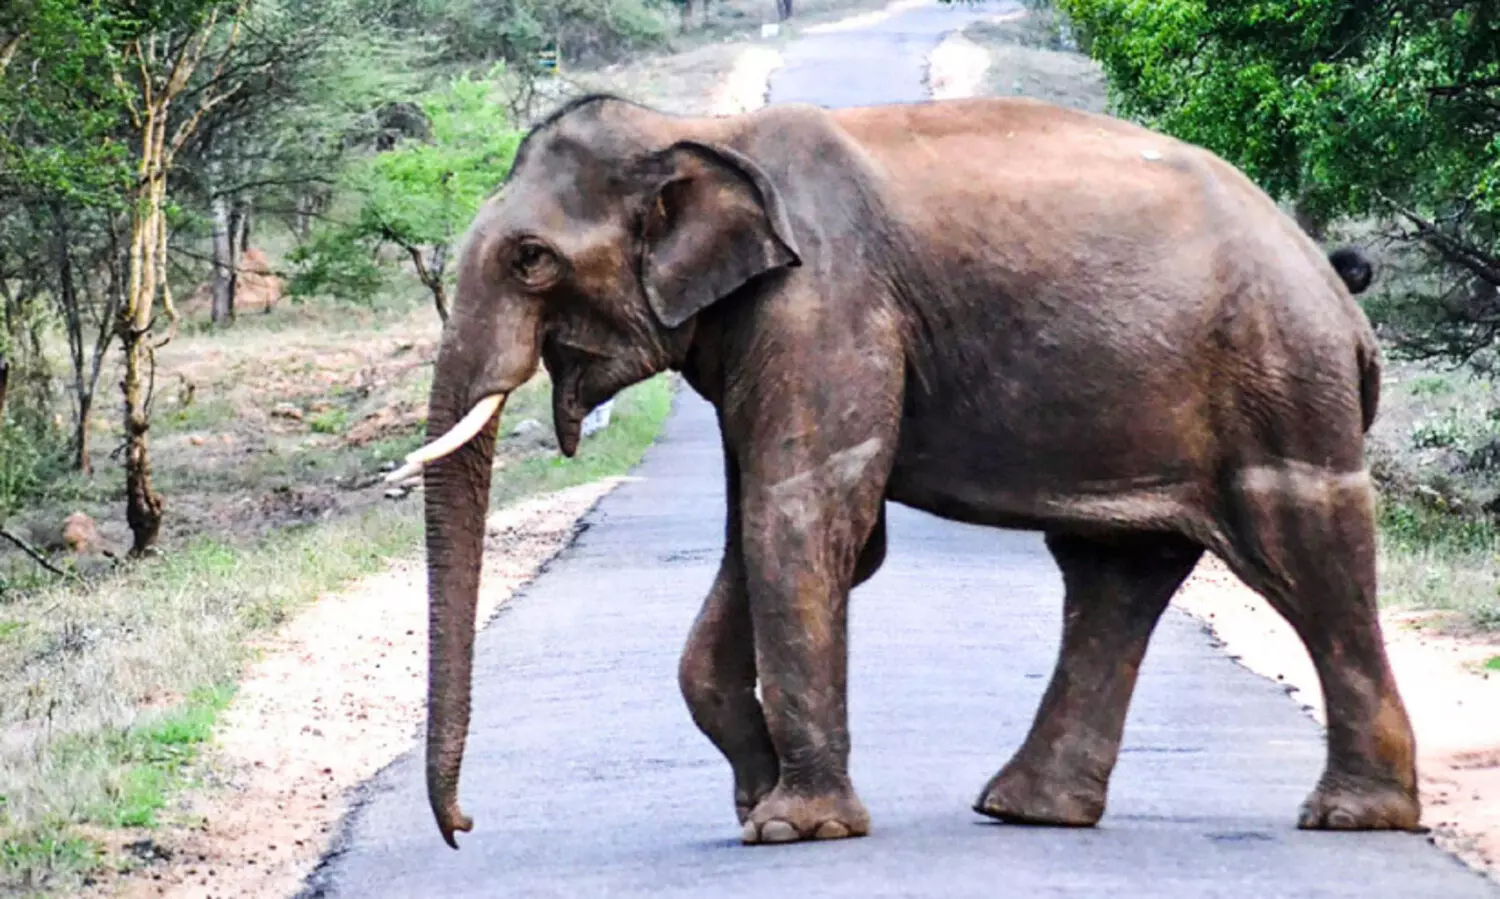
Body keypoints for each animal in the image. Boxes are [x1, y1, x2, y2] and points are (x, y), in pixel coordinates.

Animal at [391, 92, 1420, 849]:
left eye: (531, 259)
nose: (465, 826)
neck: (703, 131)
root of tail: (1340, 298)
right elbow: (771, 527)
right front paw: (758, 799)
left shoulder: (825, 302)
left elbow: (803, 516)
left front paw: (795, 828)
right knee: (1114, 573)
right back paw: (1025, 809)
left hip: (1280, 382)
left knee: (1304, 546)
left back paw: (1352, 816)